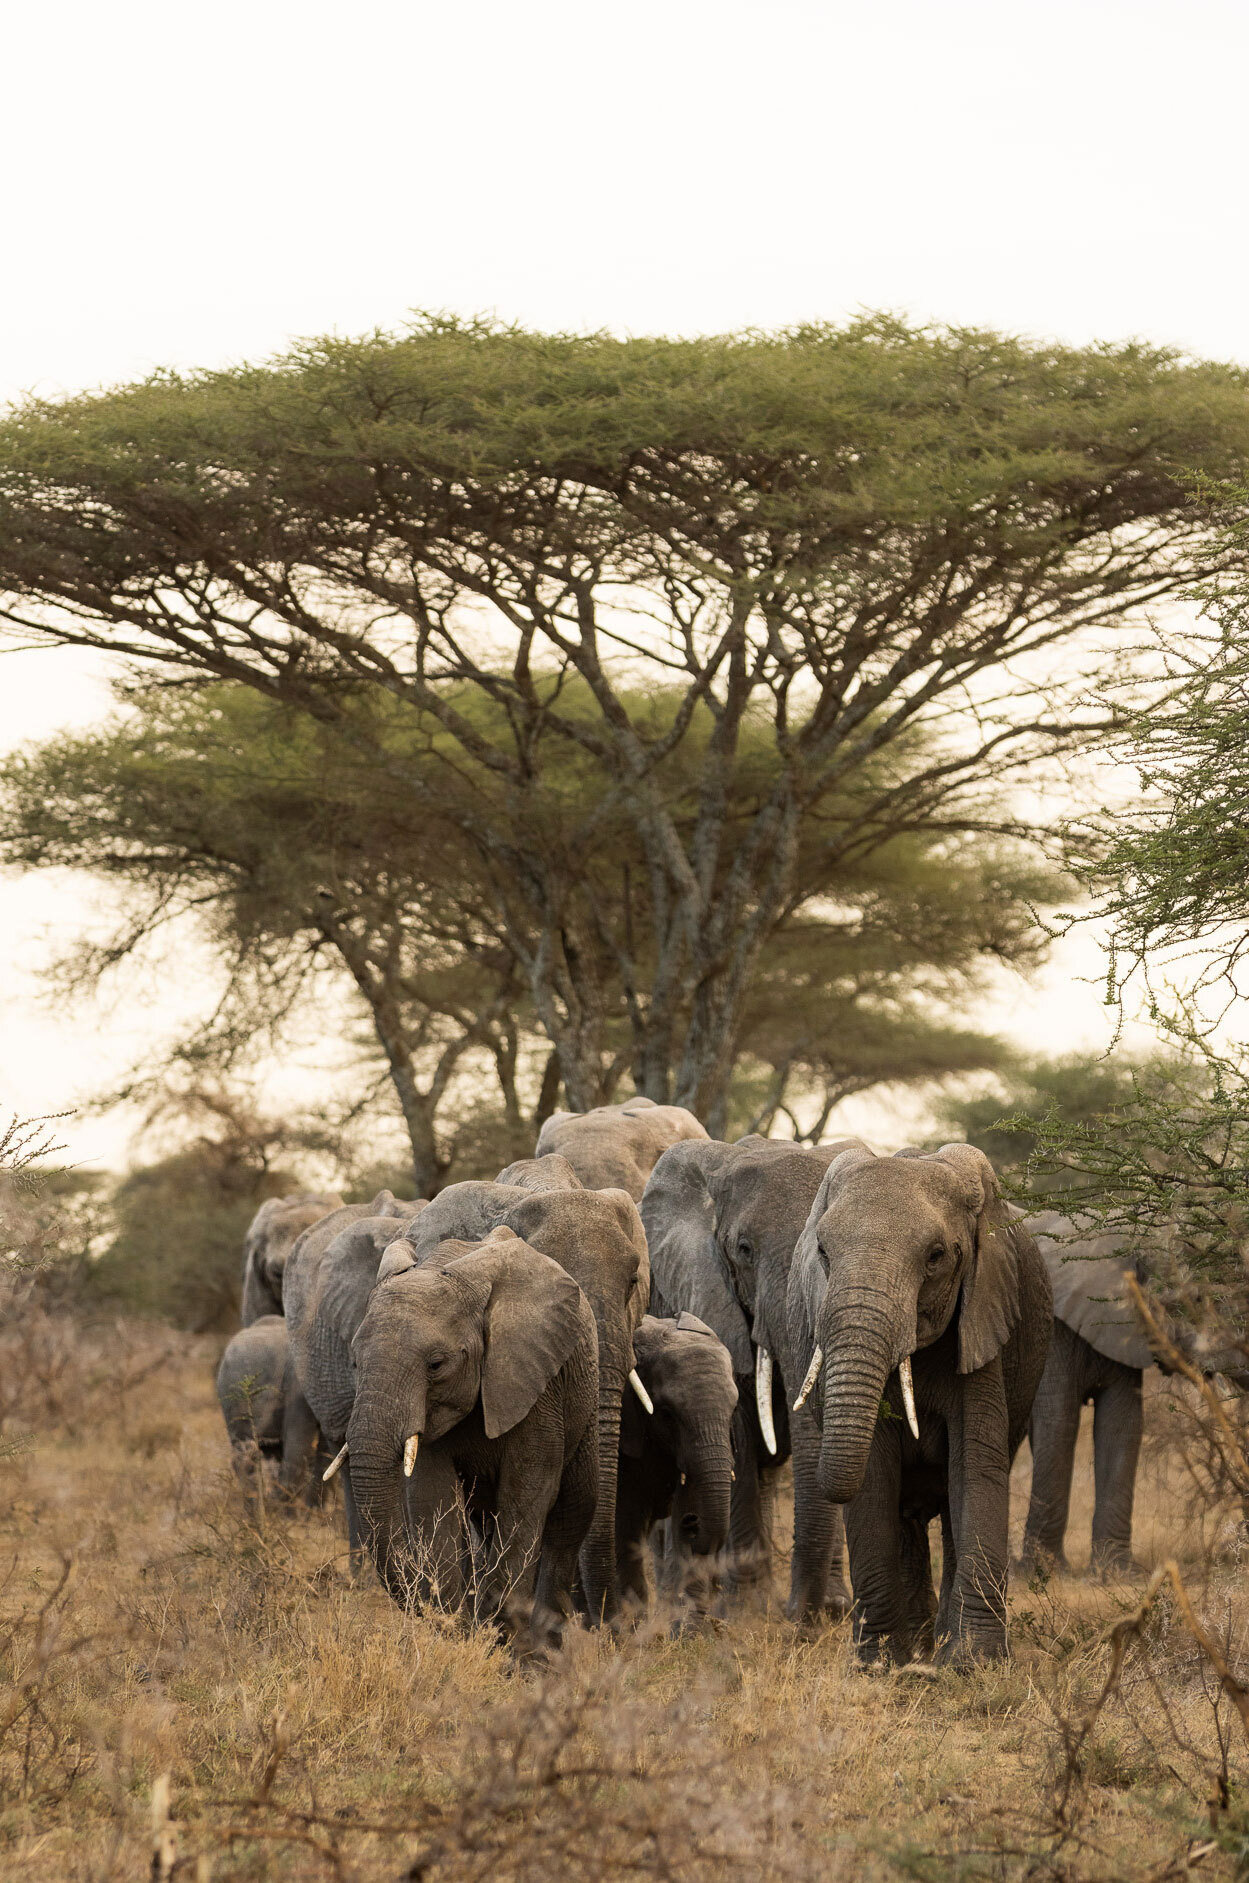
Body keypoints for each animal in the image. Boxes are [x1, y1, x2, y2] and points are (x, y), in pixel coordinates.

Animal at [345, 1226, 600, 1650]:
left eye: (436, 1365)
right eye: (353, 1362)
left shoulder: (536, 1383)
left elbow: (528, 1491)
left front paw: (500, 1639)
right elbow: (432, 1495)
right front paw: (459, 1629)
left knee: (571, 1516)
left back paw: (545, 1651)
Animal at [641, 1134, 858, 1621]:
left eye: (828, 1255)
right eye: (744, 1249)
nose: (798, 1617)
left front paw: (835, 1609)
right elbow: (736, 1431)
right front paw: (745, 1613)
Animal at [787, 1143, 1052, 1666]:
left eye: (935, 1257)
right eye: (823, 1253)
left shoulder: (982, 1321)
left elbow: (974, 1467)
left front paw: (975, 1665)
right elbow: (873, 1475)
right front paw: (878, 1664)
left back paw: (941, 1644)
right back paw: (917, 1646)